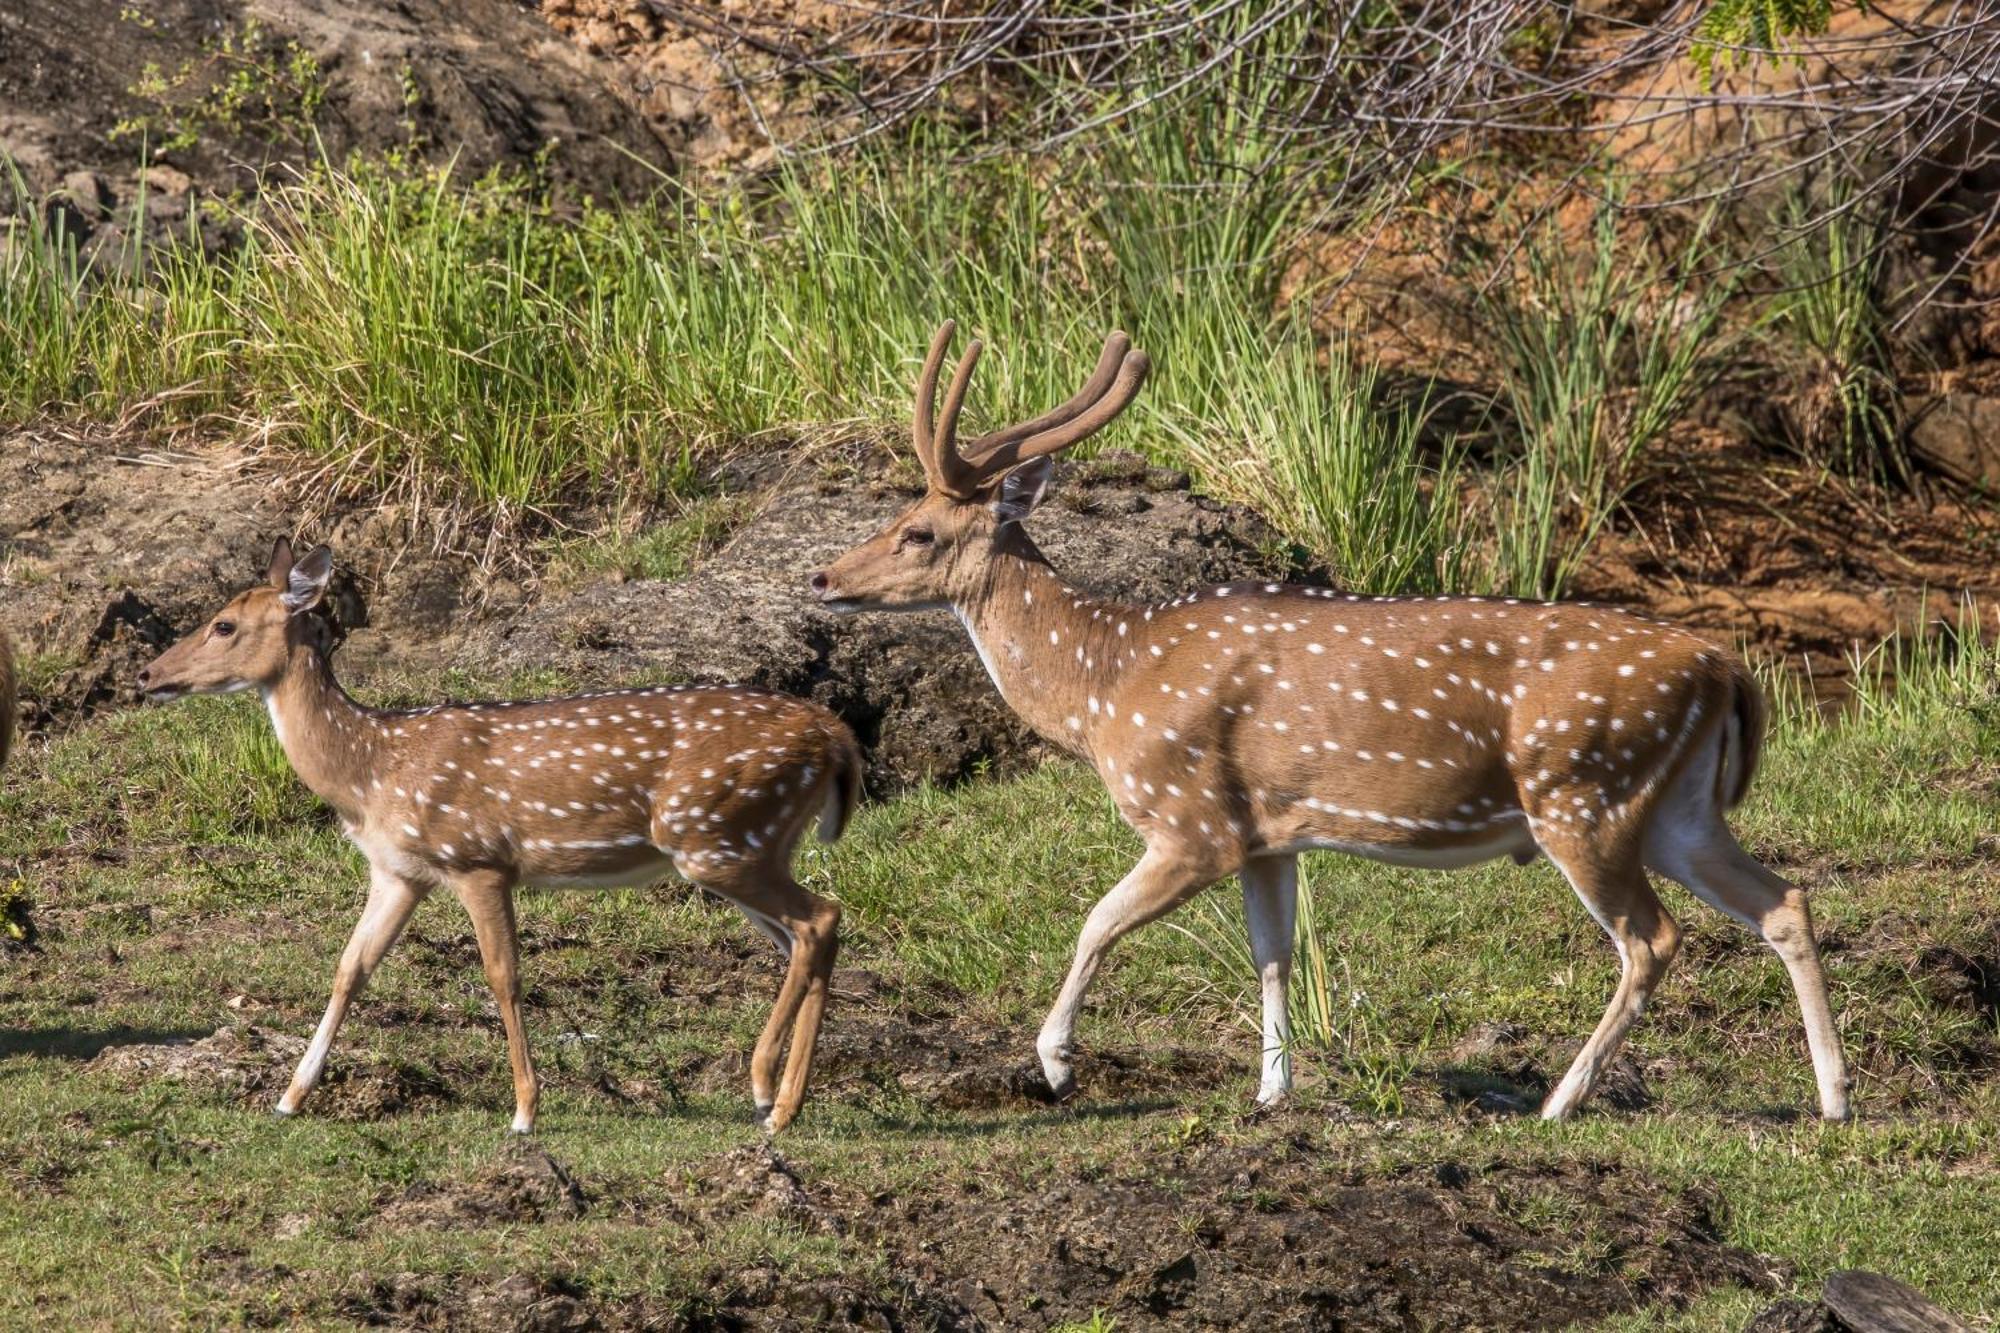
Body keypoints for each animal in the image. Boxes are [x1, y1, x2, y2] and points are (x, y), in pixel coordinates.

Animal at [139, 536, 860, 1128]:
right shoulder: (399, 870)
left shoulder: (477, 858)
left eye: (223, 624)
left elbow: (502, 975)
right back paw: (785, 1099)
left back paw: (768, 1093)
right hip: (752, 842)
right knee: (812, 932)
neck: (370, 771)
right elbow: (351, 967)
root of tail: (835, 736)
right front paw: (291, 1096)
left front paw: (524, 1110)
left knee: (818, 918)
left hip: (717, 834)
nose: (148, 674)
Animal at [812, 324, 1856, 1120]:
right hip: (1677, 805)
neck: (1106, 685)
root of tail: (1726, 668)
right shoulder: (1267, 832)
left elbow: (1095, 920)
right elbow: (1273, 954)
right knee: (1783, 900)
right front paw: (1273, 1091)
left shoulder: (1190, 818)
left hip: (1584, 792)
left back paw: (1560, 1102)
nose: (823, 576)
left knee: (1652, 940)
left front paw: (1057, 1061)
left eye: (917, 530)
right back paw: (1834, 1097)